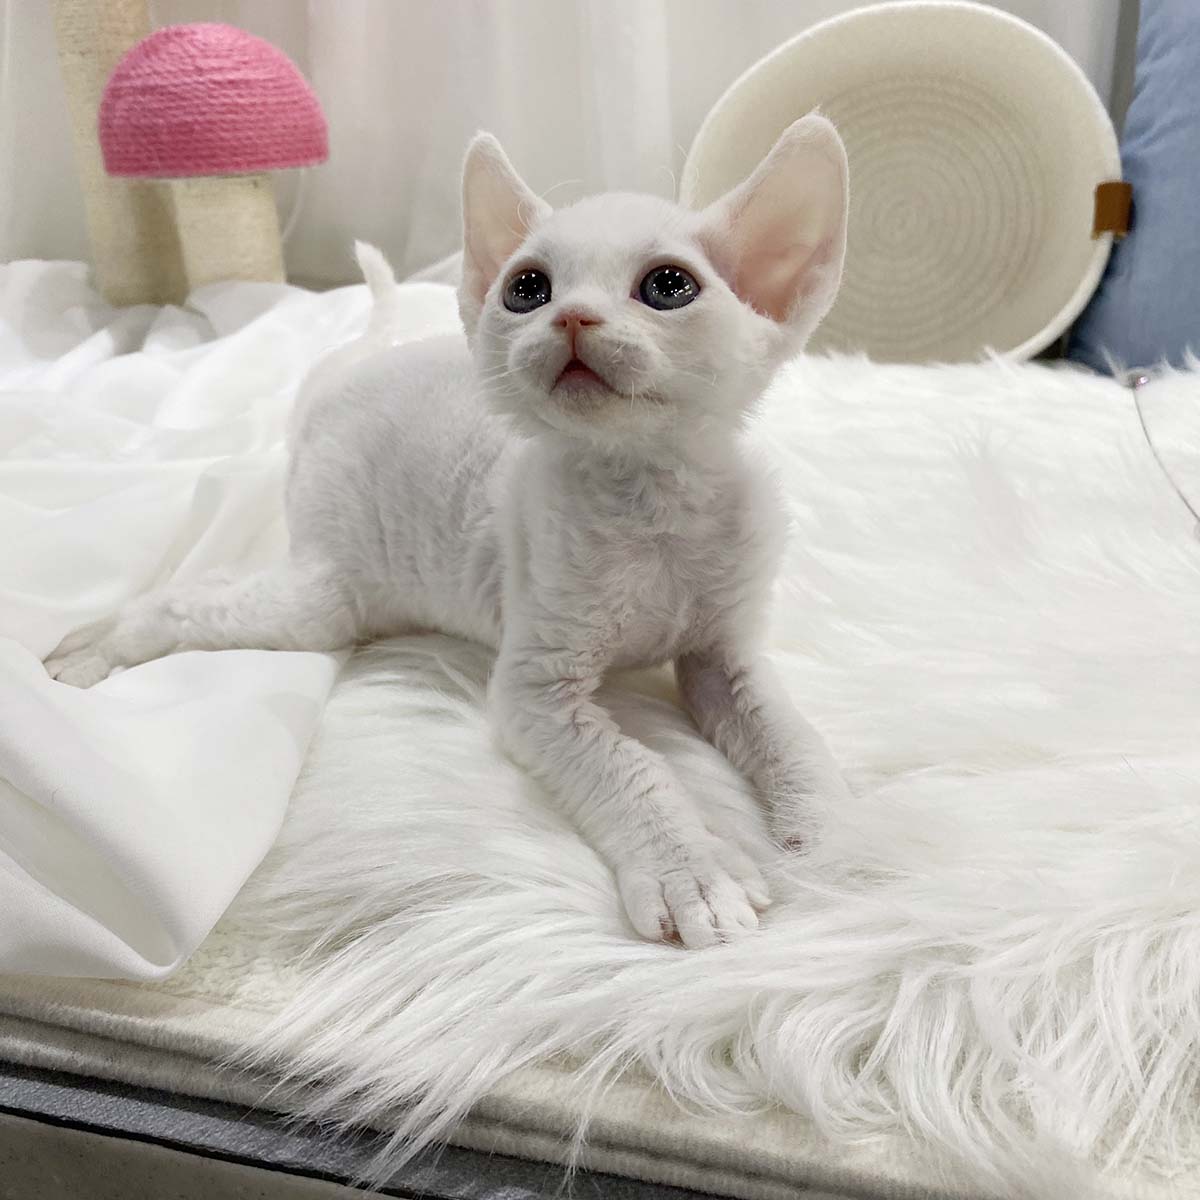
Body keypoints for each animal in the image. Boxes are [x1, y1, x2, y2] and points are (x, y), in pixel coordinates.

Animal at [45, 116, 852, 948]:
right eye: (528, 289)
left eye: (668, 287)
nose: (572, 317)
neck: (652, 496)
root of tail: (338, 382)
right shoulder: (536, 691)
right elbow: (632, 770)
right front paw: (692, 871)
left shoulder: (723, 651)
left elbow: (792, 736)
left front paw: (833, 843)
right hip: (325, 601)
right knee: (188, 597)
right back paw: (97, 645)